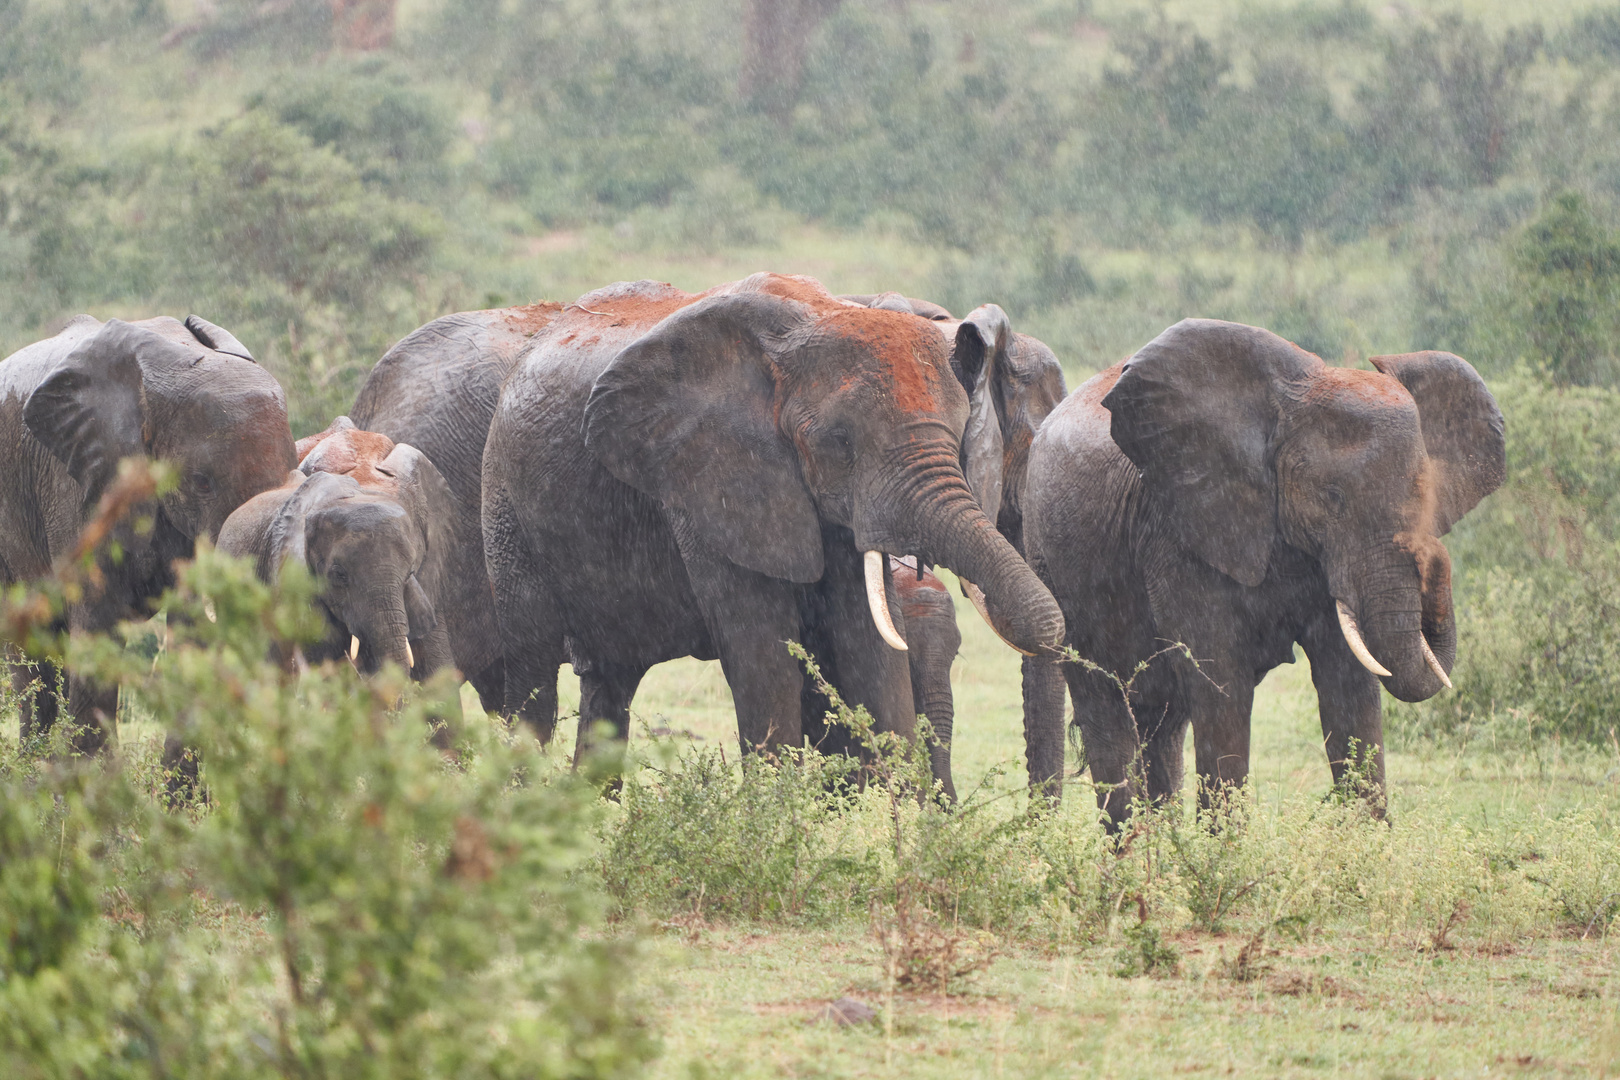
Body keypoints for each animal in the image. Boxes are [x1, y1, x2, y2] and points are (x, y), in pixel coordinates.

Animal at [479, 270, 1062, 761]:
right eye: (837, 443)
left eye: (960, 431)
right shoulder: (705, 483)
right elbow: (762, 660)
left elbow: (872, 654)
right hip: (503, 500)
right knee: (532, 681)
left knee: (609, 686)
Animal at [1023, 320, 1503, 829]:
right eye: (1331, 497)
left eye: (1427, 494)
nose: (1435, 557)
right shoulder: (1179, 531)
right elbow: (1221, 679)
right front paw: (1224, 847)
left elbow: (1350, 679)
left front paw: (1366, 840)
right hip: (1051, 565)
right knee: (1105, 707)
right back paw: (1130, 842)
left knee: (1161, 721)